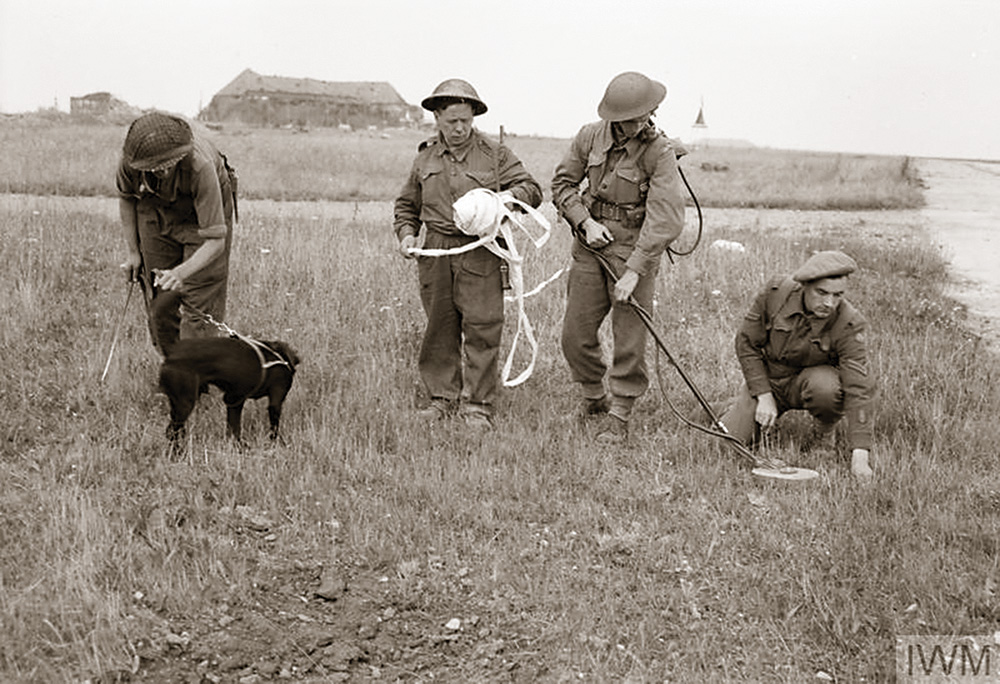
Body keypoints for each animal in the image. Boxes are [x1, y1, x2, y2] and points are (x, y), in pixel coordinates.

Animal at [152, 292, 300, 446]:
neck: (280, 357)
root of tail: (173, 349)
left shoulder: (233, 399)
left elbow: (233, 427)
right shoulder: (275, 396)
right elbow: (272, 426)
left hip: (178, 401)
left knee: (174, 430)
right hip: (185, 401)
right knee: (172, 431)